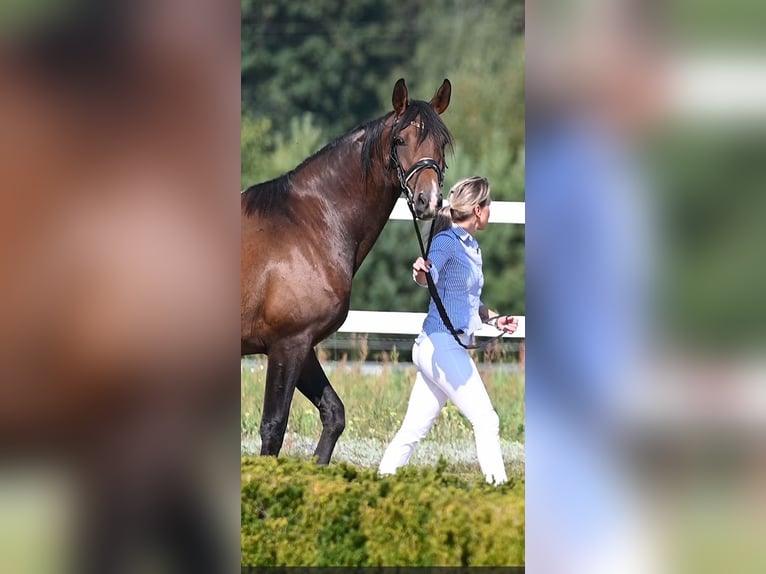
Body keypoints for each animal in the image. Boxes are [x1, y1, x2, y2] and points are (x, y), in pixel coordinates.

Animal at [243, 77, 452, 464]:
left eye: (442, 142)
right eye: (400, 140)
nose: (428, 201)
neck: (308, 224)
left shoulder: (303, 346)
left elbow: (334, 414)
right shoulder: (287, 344)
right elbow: (273, 428)